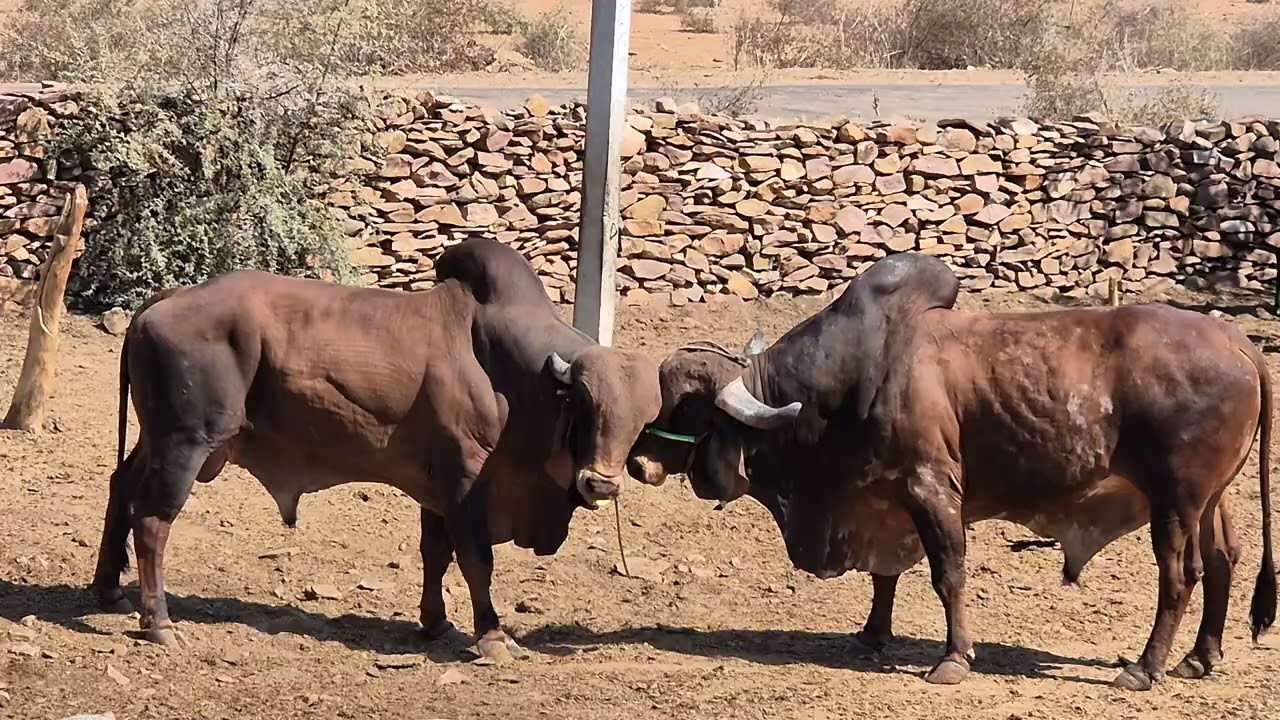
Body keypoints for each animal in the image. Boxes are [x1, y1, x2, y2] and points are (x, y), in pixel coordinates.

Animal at [90, 237, 662, 664]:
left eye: (641, 422)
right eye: (585, 405)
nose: (601, 482)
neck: (510, 373)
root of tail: (165, 300)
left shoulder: (436, 487)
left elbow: (436, 554)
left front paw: (434, 622)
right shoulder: (464, 479)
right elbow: (476, 561)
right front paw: (492, 636)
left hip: (157, 438)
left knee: (120, 487)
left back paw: (108, 589)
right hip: (187, 442)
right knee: (153, 522)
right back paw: (159, 621)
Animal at [626, 251, 1275, 690]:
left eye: (689, 407)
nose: (638, 461)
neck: (856, 379)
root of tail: (1236, 339)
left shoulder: (931, 487)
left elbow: (948, 575)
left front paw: (953, 658)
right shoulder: (883, 500)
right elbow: (883, 575)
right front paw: (872, 635)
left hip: (1175, 501)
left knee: (1181, 574)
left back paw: (1144, 667)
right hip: (1212, 499)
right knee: (1224, 558)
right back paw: (1199, 657)